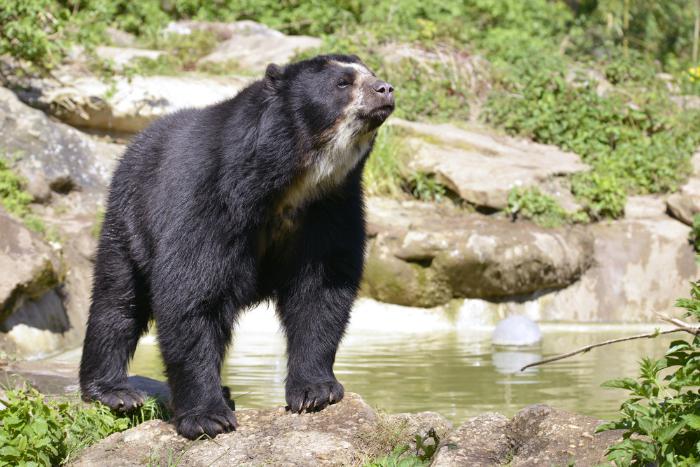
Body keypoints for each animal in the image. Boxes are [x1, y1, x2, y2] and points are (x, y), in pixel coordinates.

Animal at [79, 54, 395, 439]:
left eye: (371, 74)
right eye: (343, 82)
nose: (385, 89)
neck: (292, 177)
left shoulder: (332, 207)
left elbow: (321, 290)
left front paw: (316, 392)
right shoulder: (210, 195)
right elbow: (191, 293)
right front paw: (208, 417)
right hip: (130, 215)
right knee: (118, 298)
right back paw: (114, 391)